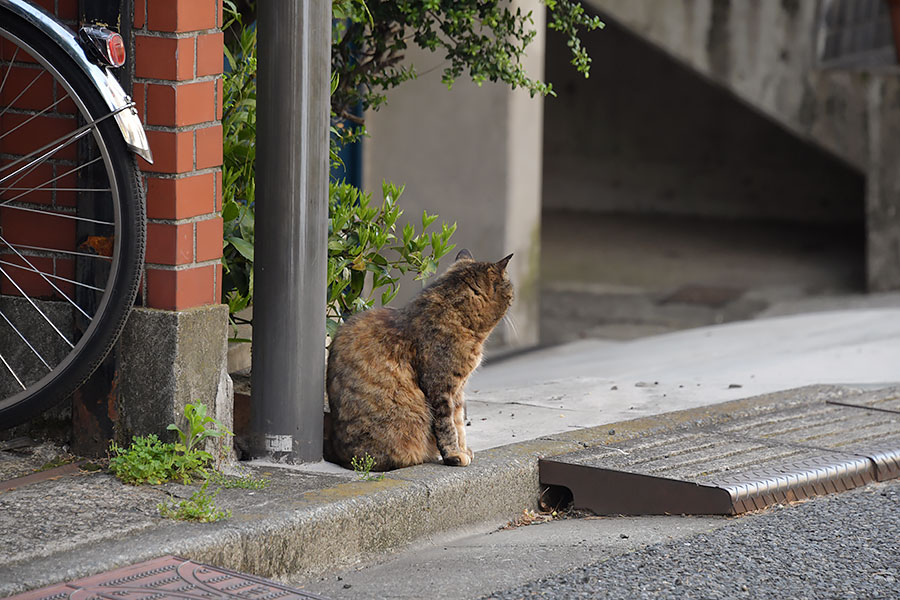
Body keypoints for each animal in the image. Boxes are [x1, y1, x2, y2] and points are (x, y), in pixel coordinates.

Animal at [326, 248, 512, 468]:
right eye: (510, 288)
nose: (513, 297)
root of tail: (341, 457)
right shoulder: (441, 389)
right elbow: (447, 426)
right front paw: (454, 455)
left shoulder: (458, 392)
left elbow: (459, 424)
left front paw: (463, 449)